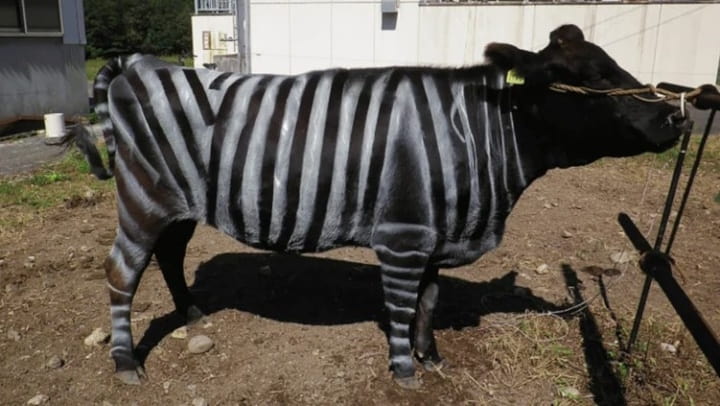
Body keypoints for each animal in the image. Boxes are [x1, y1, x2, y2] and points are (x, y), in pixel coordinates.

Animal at [66, 24, 685, 388]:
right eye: (585, 79)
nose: (675, 116)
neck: (476, 136)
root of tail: (143, 65)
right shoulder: (404, 236)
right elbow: (403, 306)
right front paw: (405, 372)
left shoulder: (438, 233)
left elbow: (430, 302)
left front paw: (433, 358)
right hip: (144, 198)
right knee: (121, 272)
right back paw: (126, 364)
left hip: (179, 204)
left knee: (169, 256)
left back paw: (193, 314)